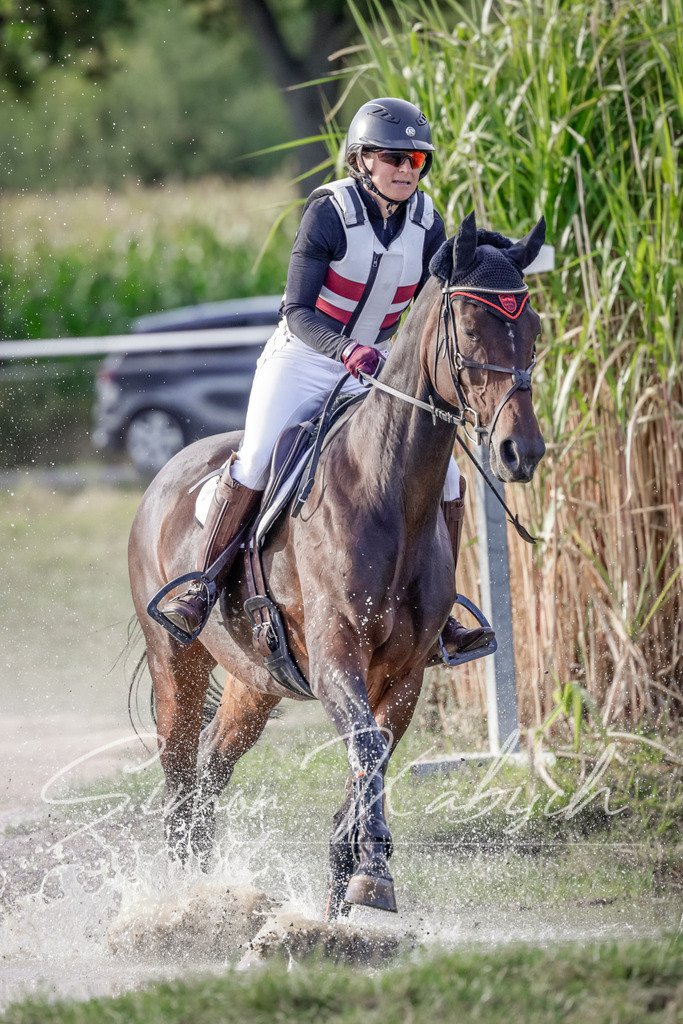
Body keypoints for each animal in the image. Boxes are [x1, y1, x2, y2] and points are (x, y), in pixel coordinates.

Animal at [128, 211, 547, 918]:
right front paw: (370, 877)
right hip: (176, 666)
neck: (387, 491)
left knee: (212, 767)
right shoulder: (334, 656)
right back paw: (183, 895)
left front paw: (353, 885)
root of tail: (164, 475)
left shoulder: (404, 675)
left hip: (253, 680)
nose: (523, 451)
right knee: (181, 780)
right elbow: (367, 748)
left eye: (534, 329)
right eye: (469, 328)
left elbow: (369, 762)